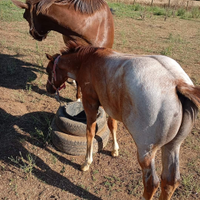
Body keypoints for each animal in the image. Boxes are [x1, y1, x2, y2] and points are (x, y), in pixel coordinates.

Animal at [45, 42, 200, 200]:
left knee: (152, 183)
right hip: (172, 147)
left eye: (48, 70)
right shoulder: (110, 106)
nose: (48, 88)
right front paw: (115, 150)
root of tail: (178, 84)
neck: (87, 60)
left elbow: (90, 132)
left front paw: (87, 162)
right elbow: (112, 126)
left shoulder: (90, 104)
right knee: (169, 182)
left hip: (146, 152)